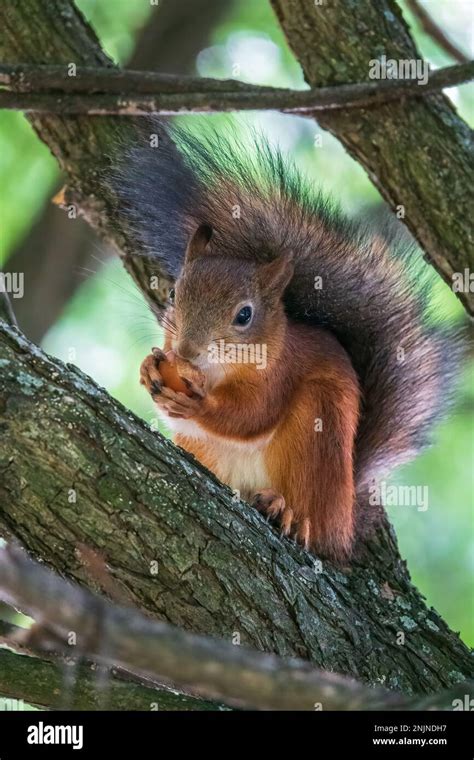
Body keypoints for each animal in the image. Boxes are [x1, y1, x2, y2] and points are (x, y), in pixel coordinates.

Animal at [113, 124, 458, 560]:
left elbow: (252, 414)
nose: (186, 351)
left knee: (312, 522)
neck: (217, 369)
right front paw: (148, 368)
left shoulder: (282, 373)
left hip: (317, 431)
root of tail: (344, 518)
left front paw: (200, 403)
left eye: (244, 315)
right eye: (174, 293)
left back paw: (290, 514)